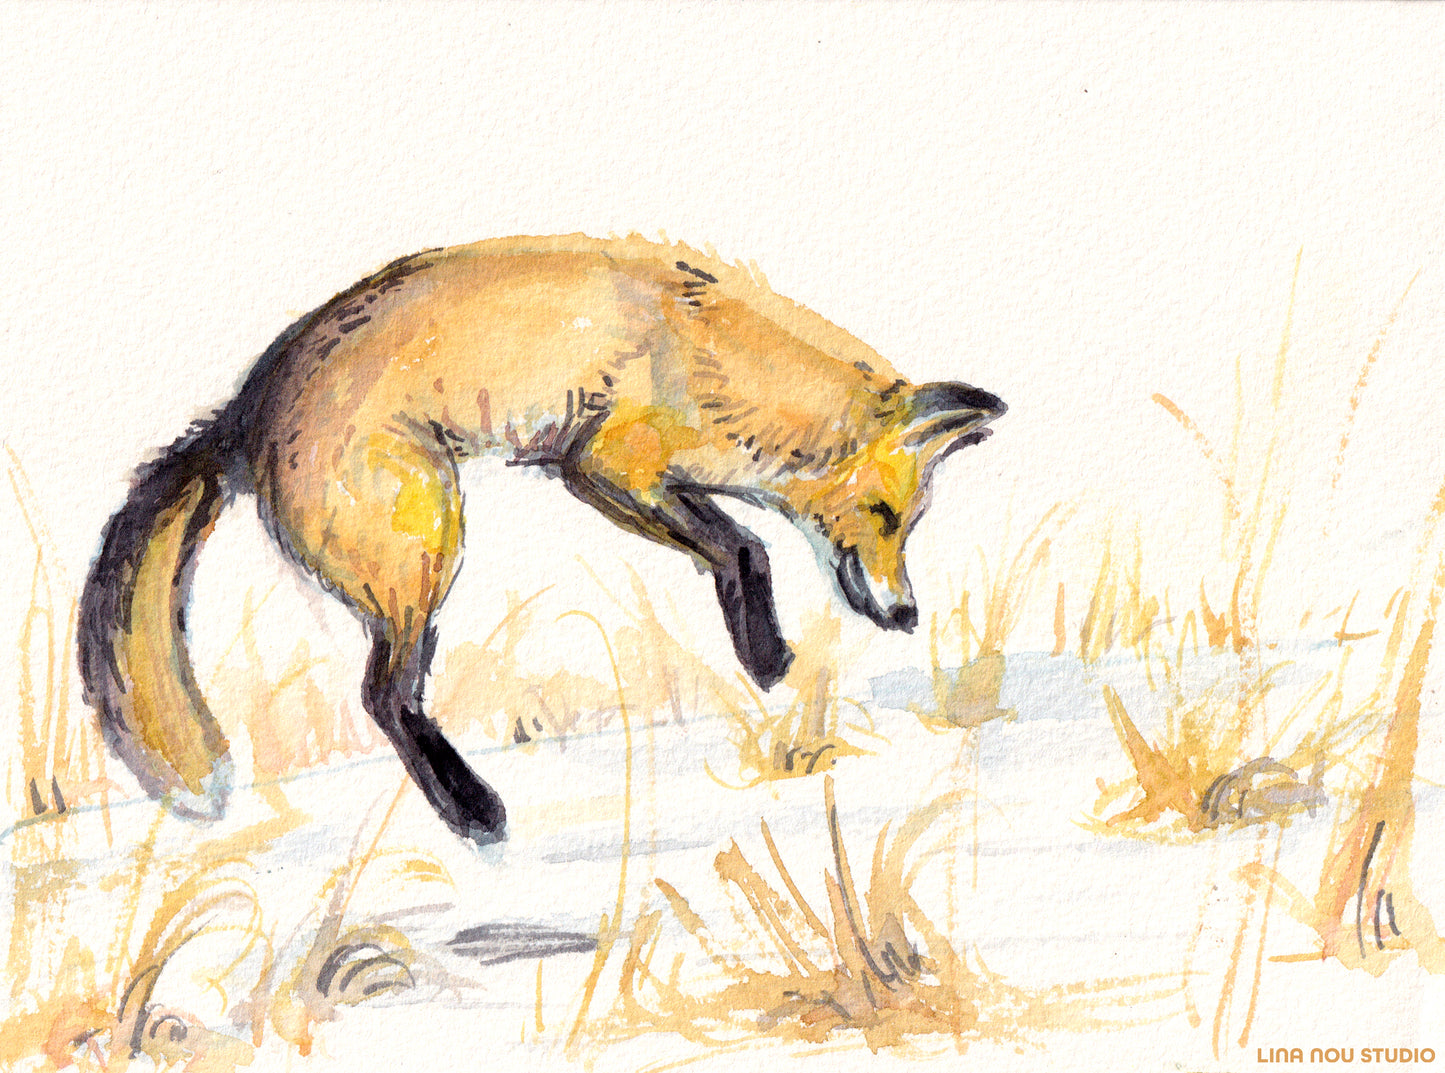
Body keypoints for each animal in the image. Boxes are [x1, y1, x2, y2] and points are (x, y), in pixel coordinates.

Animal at [77, 234, 1005, 845]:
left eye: (911, 525)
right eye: (885, 517)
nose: (907, 614)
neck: (716, 364)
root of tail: (244, 408)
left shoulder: (617, 472)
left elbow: (737, 540)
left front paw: (764, 650)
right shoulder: (599, 464)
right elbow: (745, 543)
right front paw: (766, 654)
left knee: (388, 692)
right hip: (426, 548)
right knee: (384, 694)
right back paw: (472, 811)